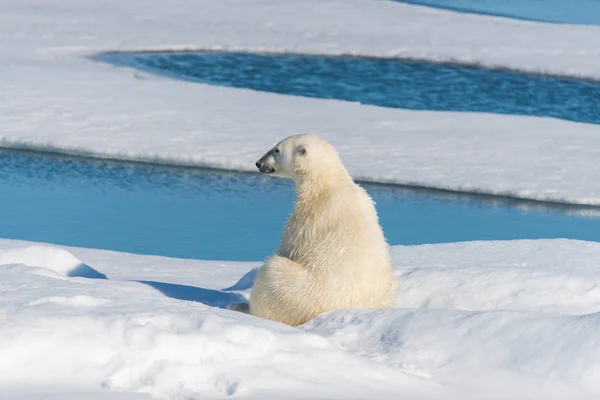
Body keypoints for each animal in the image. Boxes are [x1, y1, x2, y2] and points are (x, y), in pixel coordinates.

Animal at [250, 133, 398, 326]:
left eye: (276, 150)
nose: (258, 163)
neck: (329, 183)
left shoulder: (309, 217)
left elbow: (289, 246)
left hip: (298, 294)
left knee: (271, 271)